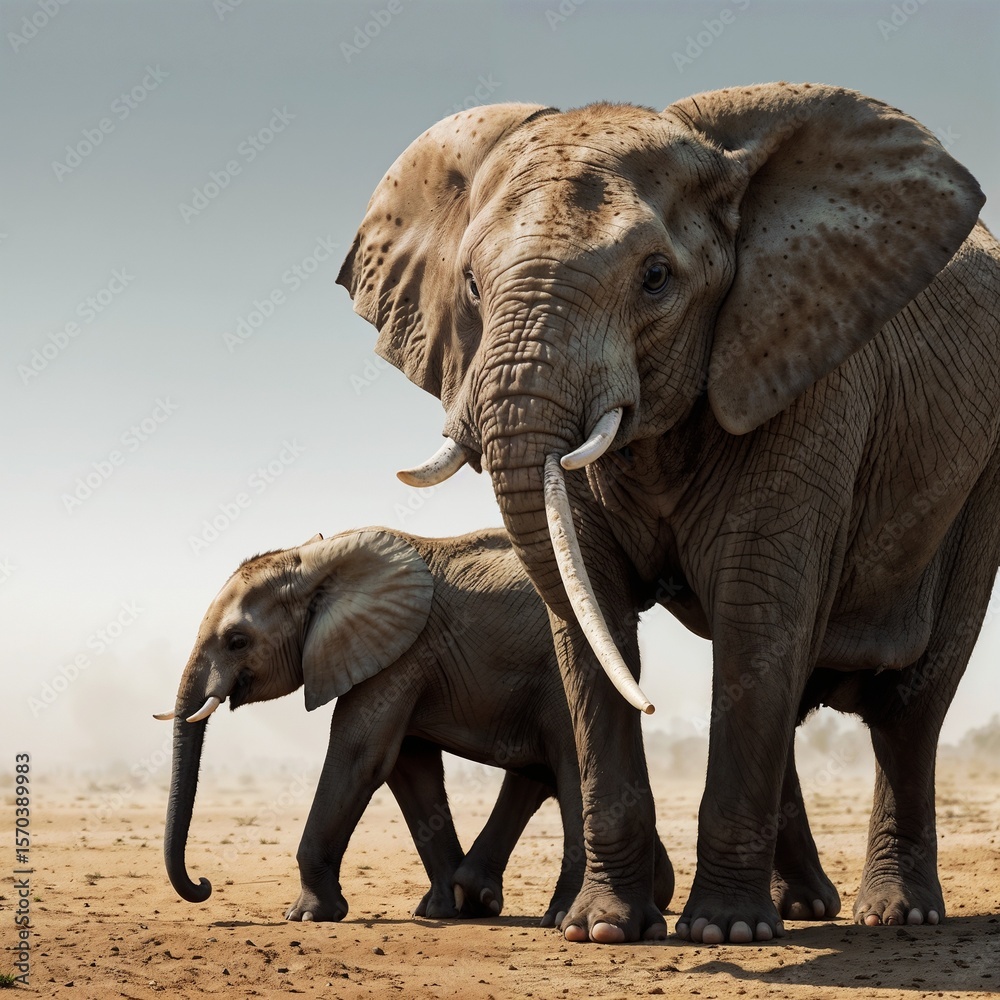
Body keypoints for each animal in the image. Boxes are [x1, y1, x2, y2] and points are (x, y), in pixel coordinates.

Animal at [156, 526, 674, 924]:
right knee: (537, 774)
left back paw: (562, 915)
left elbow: (361, 757)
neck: (320, 562)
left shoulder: (399, 651)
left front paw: (306, 916)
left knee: (566, 767)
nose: (203, 884)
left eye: (237, 641)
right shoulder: (399, 654)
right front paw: (440, 911)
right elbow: (408, 768)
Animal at [338, 83, 1000, 945]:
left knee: (909, 704)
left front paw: (725, 933)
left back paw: (896, 913)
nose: (653, 703)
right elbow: (594, 616)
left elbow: (757, 615)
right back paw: (803, 908)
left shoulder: (809, 374)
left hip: (980, 477)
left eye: (656, 278)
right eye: (473, 287)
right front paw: (603, 930)